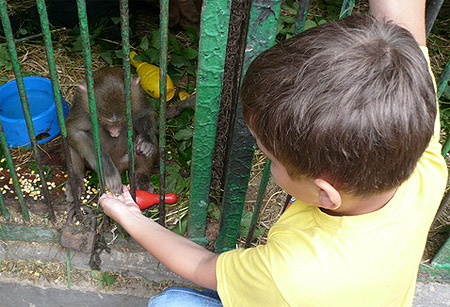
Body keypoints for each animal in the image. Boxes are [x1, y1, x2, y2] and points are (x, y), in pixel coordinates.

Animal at [65, 67, 158, 202]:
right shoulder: (81, 105)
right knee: (71, 145)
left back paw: (142, 176)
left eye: (122, 121)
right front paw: (109, 172)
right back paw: (76, 181)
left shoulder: (138, 97)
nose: (115, 133)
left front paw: (145, 141)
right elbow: (74, 130)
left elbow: (146, 114)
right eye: (106, 122)